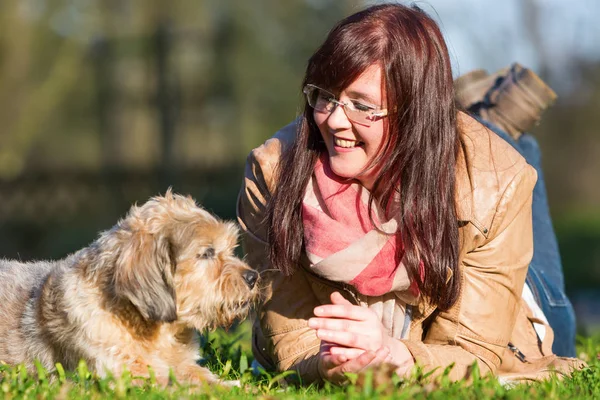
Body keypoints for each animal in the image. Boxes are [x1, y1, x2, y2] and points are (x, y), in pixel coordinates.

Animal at [0, 192, 260, 386]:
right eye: (207, 253)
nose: (253, 277)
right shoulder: (125, 373)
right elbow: (177, 383)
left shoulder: (184, 364)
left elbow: (200, 376)